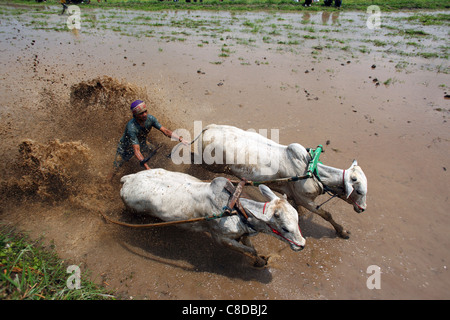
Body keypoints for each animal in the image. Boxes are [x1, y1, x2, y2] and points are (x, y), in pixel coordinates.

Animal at [119, 169, 306, 266]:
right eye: (285, 228)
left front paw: (261, 260)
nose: (302, 245)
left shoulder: (243, 233)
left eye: (297, 220)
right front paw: (259, 262)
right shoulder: (220, 238)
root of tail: (127, 179)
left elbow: (251, 247)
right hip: (134, 210)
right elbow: (249, 250)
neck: (236, 208)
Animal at [195, 124, 368, 239]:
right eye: (359, 191)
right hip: (210, 164)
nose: (363, 209)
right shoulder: (306, 200)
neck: (312, 172)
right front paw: (342, 231)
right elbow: (326, 214)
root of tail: (208, 128)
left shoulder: (294, 196)